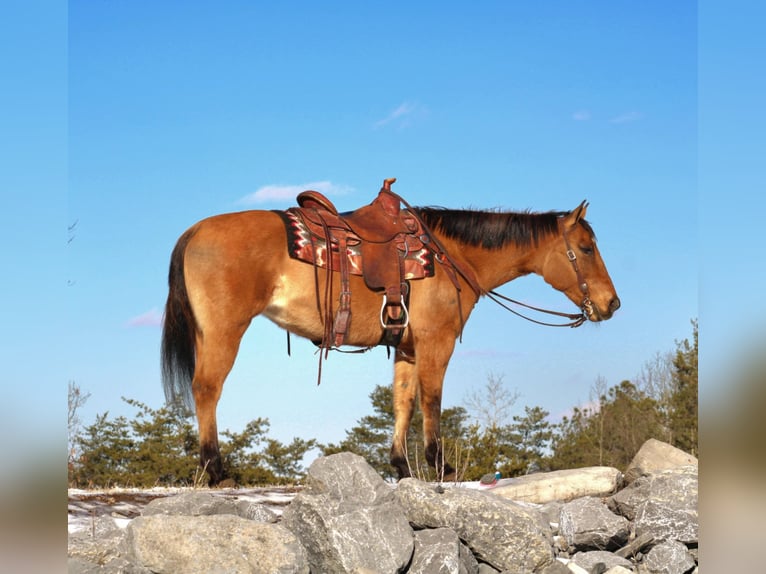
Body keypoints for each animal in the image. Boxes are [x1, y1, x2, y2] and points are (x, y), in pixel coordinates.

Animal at [159, 179, 620, 486]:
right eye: (585, 249)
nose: (612, 303)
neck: (448, 255)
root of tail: (193, 232)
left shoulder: (407, 348)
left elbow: (404, 402)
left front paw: (401, 466)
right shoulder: (437, 342)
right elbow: (432, 400)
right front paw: (440, 465)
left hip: (207, 334)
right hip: (224, 332)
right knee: (207, 389)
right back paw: (217, 470)